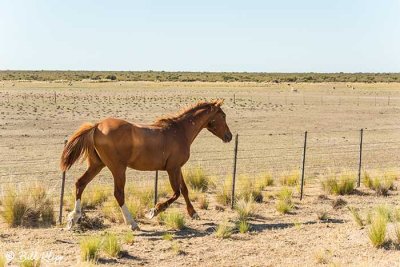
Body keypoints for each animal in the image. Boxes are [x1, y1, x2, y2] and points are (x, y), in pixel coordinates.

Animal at [61, 99, 233, 231]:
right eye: (223, 116)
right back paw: (132, 223)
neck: (180, 131)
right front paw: (154, 211)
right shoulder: (172, 169)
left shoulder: (178, 168)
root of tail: (97, 126)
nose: (229, 136)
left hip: (97, 165)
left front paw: (193, 213)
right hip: (118, 168)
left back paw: (73, 219)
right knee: (118, 193)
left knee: (80, 183)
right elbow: (176, 193)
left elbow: (184, 190)